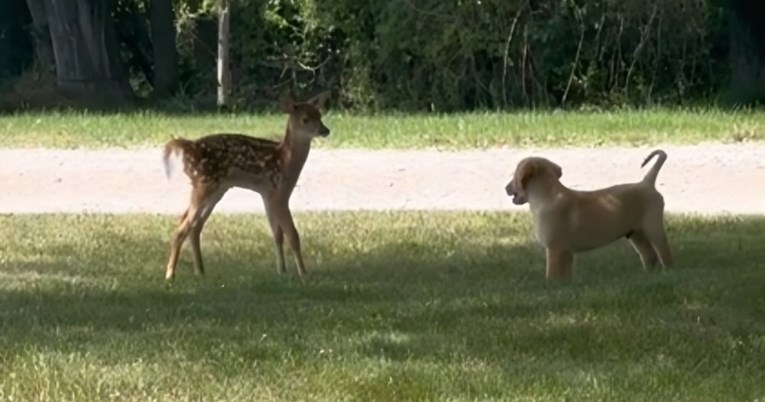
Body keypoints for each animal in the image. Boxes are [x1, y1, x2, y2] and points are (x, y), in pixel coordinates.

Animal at [504, 150, 672, 280]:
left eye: (515, 176)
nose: (505, 188)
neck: (547, 196)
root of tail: (647, 182)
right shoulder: (565, 252)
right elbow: (564, 276)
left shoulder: (554, 249)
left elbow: (551, 276)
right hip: (636, 234)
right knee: (650, 256)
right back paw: (648, 277)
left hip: (654, 229)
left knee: (665, 256)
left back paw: (667, 274)